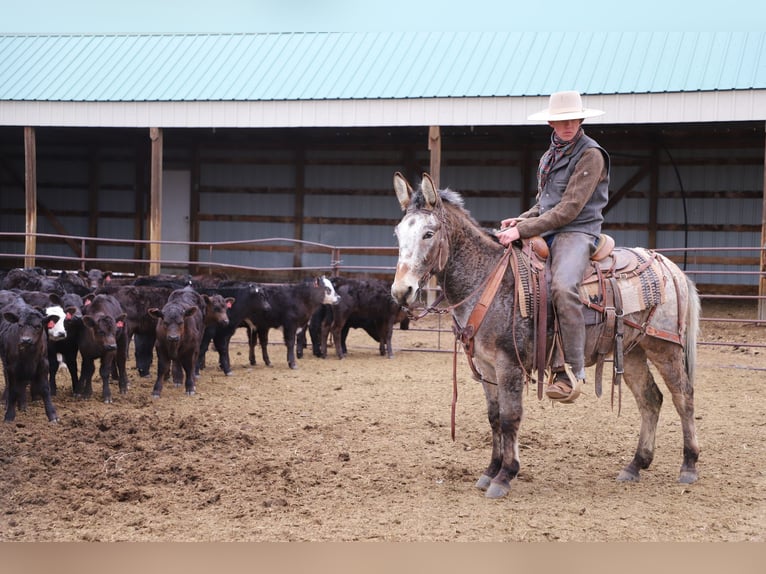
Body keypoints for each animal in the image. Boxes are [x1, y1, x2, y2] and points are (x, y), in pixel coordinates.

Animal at [0, 296, 60, 424]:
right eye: (20, 325)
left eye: (38, 326)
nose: (25, 340)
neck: (28, 355)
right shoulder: (11, 366)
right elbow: (13, 389)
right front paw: (9, 415)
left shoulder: (43, 364)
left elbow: (45, 388)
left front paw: (52, 415)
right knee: (9, 382)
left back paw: (22, 405)